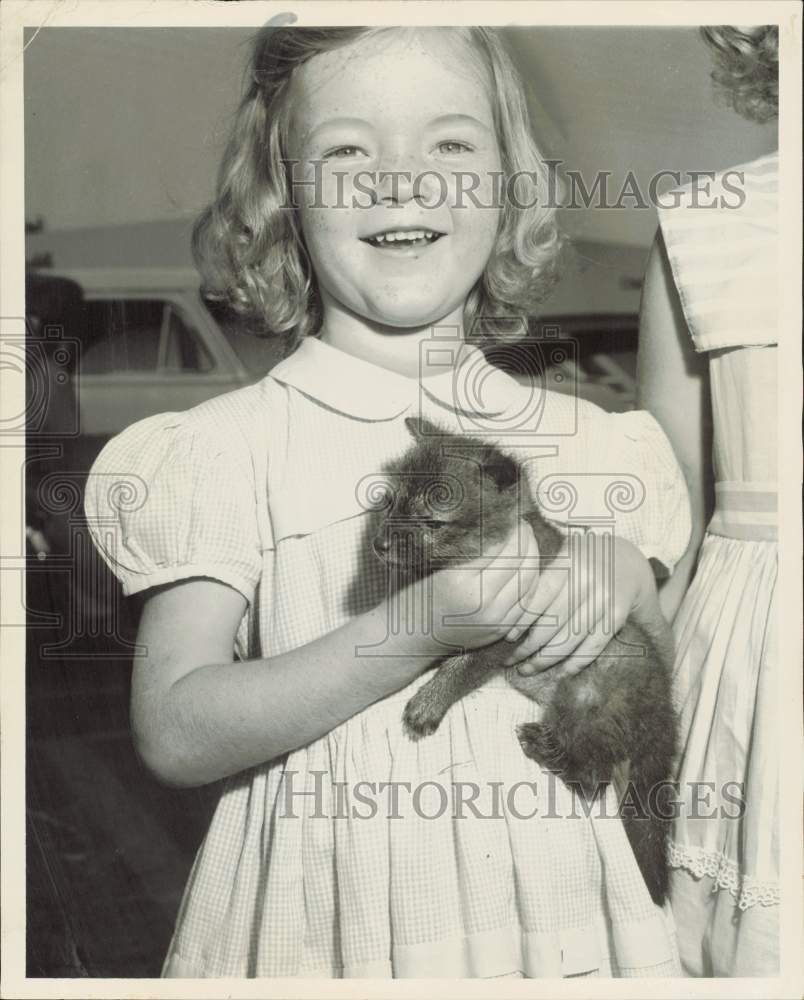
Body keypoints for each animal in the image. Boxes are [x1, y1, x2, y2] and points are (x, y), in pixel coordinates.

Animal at [374, 414, 676, 908]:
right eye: (390, 500)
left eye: (430, 520)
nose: (379, 544)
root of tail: (664, 707)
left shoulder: (501, 639)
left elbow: (458, 670)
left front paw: (427, 704)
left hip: (580, 704)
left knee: (592, 780)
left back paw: (543, 747)